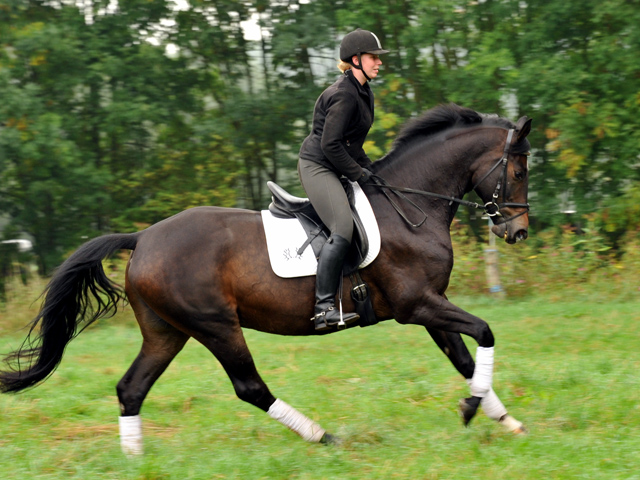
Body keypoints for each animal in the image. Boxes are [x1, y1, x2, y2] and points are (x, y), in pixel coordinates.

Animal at [0, 104, 528, 454]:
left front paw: (502, 418)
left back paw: (135, 460)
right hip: (215, 326)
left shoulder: (429, 303)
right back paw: (323, 435)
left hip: (166, 331)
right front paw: (473, 407)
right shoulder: (416, 304)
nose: (517, 230)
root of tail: (143, 237)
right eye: (520, 170)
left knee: (132, 389)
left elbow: (464, 357)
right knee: (249, 387)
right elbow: (484, 332)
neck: (409, 205)